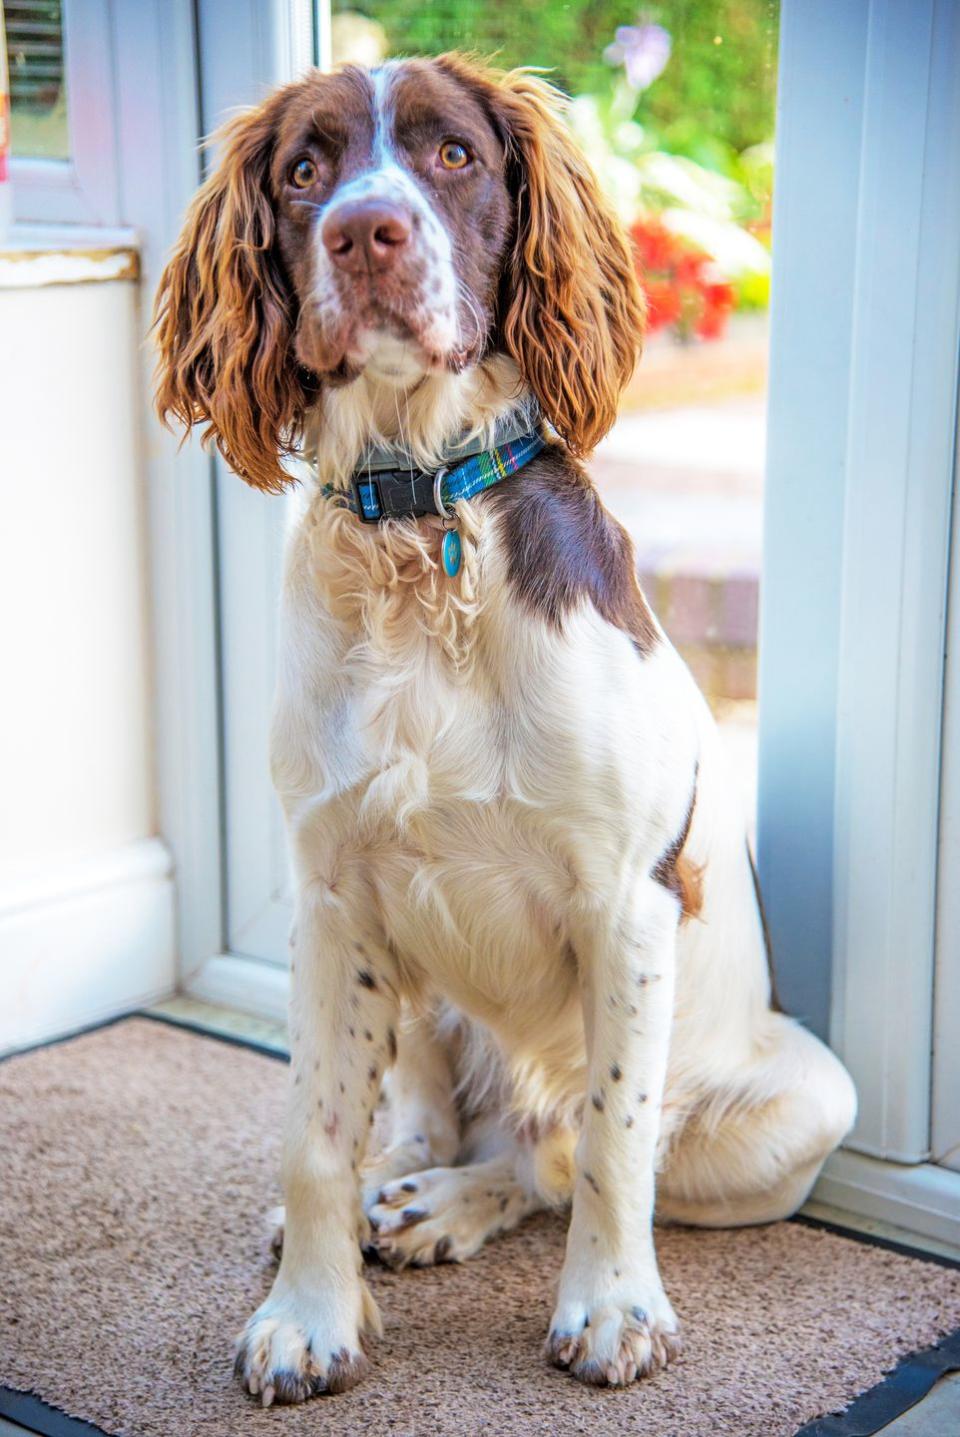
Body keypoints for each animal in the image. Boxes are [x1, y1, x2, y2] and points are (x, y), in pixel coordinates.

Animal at [153, 53, 856, 1402]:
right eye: (305, 169)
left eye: (454, 156)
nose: (364, 233)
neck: (420, 519)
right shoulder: (330, 898)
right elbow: (314, 1135)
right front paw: (308, 1313)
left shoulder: (626, 900)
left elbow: (612, 1135)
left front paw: (614, 1308)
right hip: (412, 983)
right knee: (436, 1122)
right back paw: (400, 1188)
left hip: (813, 1102)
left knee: (545, 1152)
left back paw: (443, 1208)